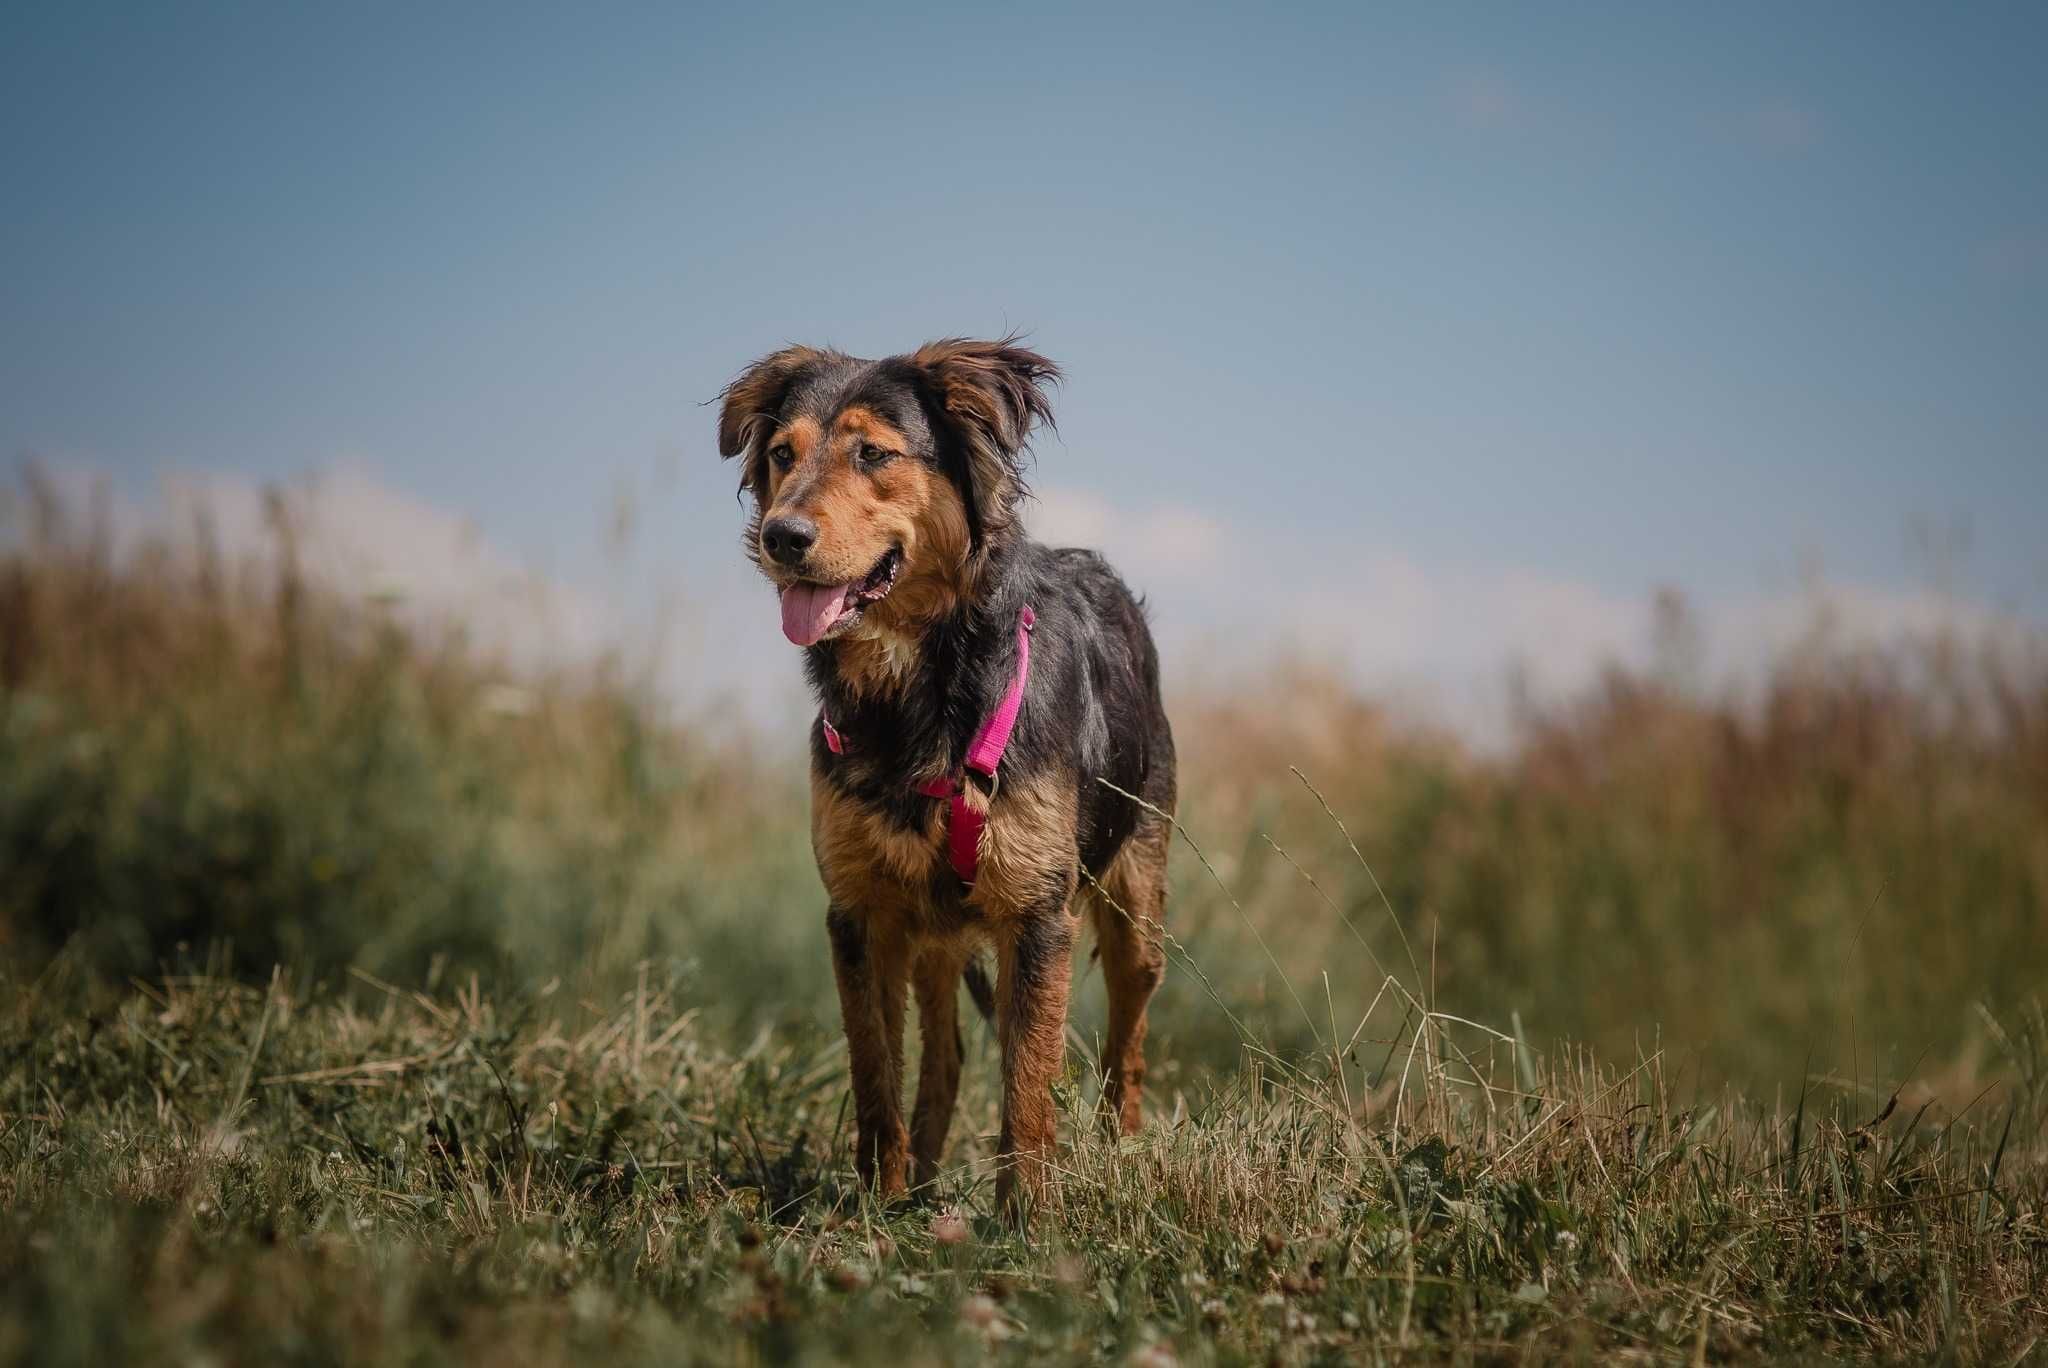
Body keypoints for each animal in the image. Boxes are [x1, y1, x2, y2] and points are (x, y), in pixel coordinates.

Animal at [716, 342, 1171, 1220]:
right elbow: (876, 1077)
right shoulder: (862, 913)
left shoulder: (1037, 912)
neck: (914, 694)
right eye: (782, 454)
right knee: (947, 1056)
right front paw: (876, 1203)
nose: (780, 536)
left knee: (1126, 1047)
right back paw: (918, 1190)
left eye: (873, 453)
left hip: (1137, 900)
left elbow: (1027, 1085)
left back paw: (1125, 1153)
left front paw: (1027, 1221)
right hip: (934, 932)